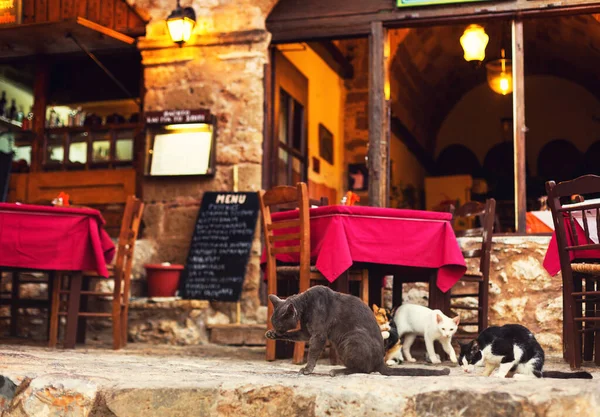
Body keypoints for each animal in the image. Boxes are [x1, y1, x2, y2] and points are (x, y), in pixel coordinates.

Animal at [268, 286, 450, 376]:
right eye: (275, 325)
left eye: (280, 325)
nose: (276, 329)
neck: (305, 305)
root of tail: (381, 361)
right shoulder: (307, 332)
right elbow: (295, 335)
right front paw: (271, 334)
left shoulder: (318, 335)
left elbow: (312, 353)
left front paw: (307, 369)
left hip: (352, 338)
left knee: (364, 369)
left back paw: (337, 371)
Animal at [460, 324, 592, 378]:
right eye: (461, 363)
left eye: (470, 360)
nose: (465, 370)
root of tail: (541, 369)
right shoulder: (492, 361)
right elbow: (489, 367)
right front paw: (484, 374)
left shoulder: (510, 351)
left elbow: (504, 365)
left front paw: (499, 375)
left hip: (531, 361)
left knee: (537, 376)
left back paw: (518, 376)